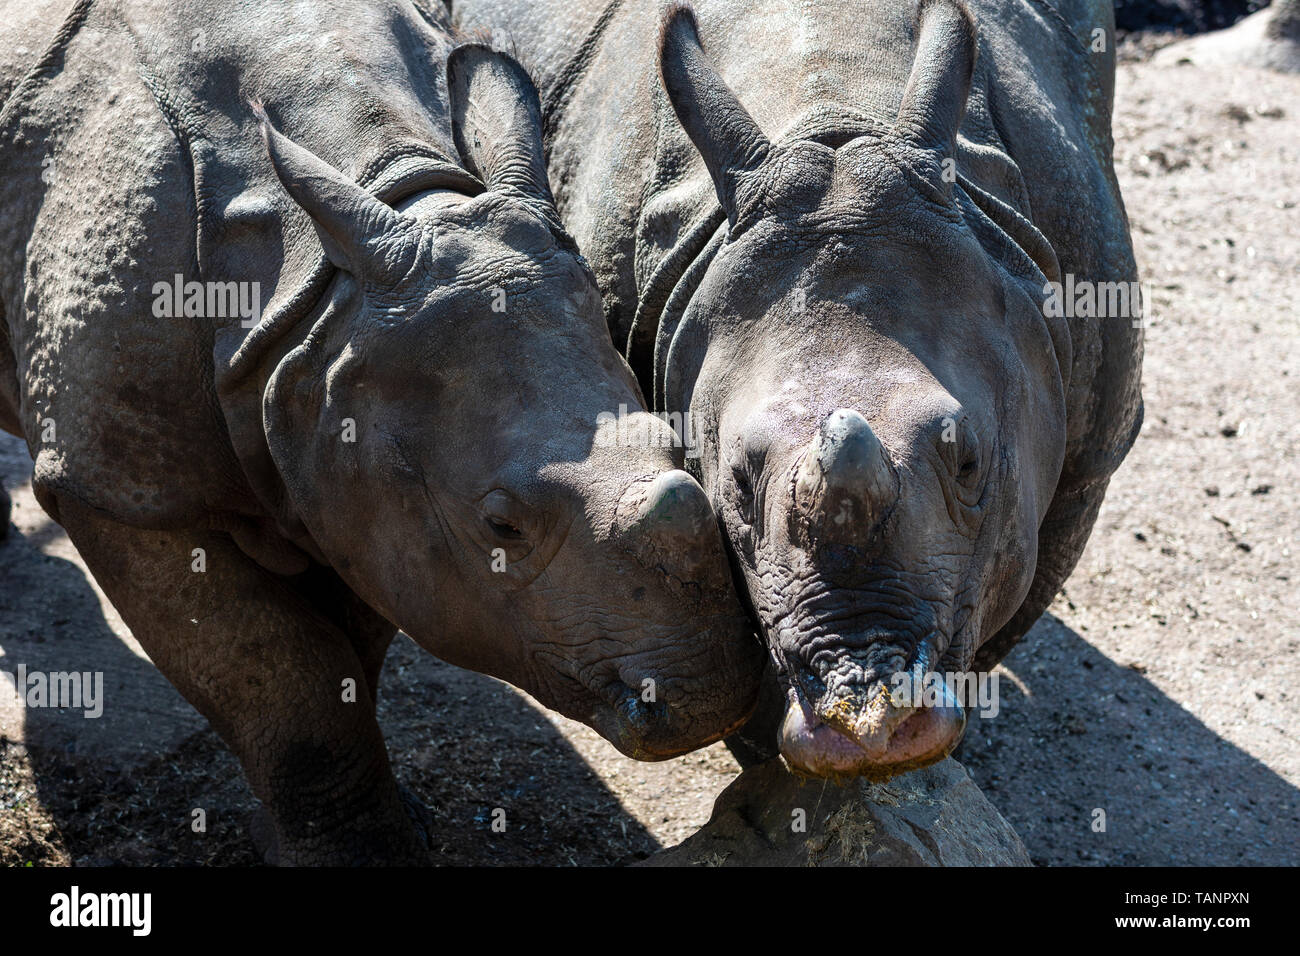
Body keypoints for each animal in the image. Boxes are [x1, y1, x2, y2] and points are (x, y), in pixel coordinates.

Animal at [0, 0, 763, 863]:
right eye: (501, 526)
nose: (708, 696)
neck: (318, 305)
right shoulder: (121, 489)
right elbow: (287, 686)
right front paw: (355, 852)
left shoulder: (346, 460)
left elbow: (345, 656)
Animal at [452, 0, 1145, 779]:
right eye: (736, 484)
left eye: (969, 464)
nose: (866, 712)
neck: (838, 114)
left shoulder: (1092, 458)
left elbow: (1007, 606)